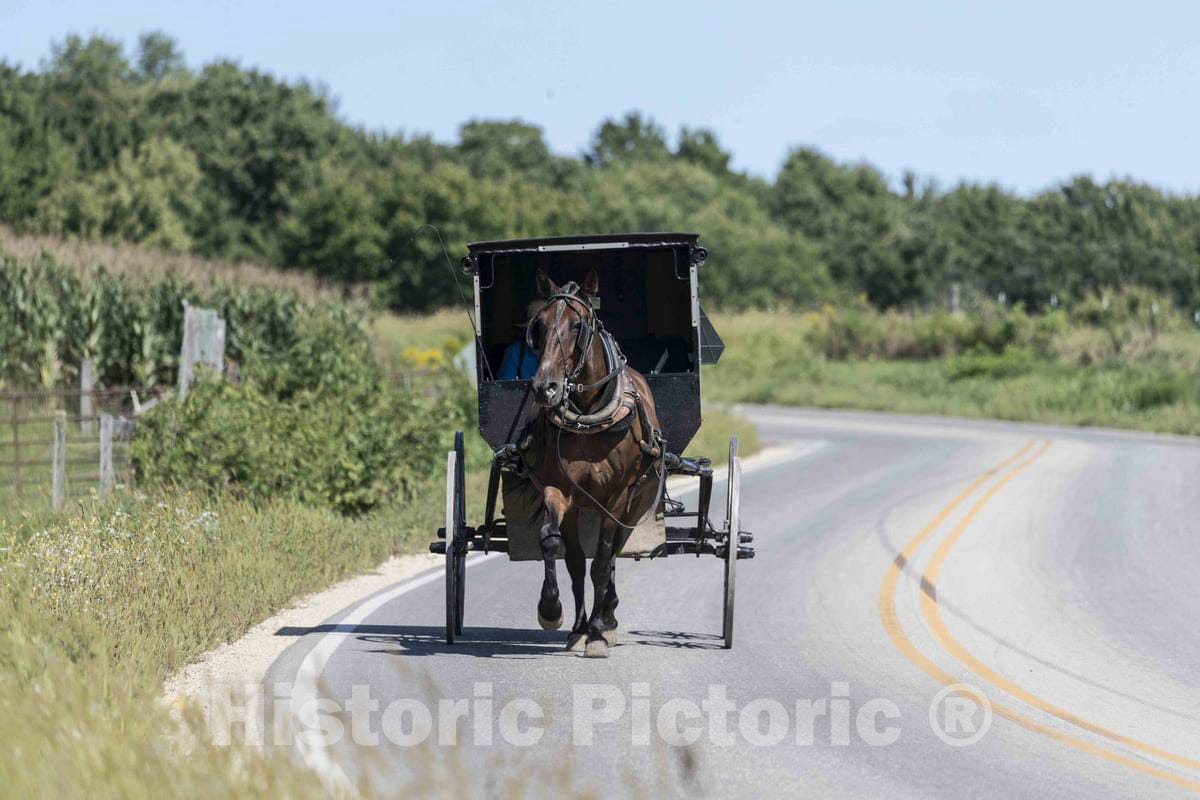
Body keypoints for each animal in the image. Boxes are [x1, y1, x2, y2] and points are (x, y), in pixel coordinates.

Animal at [519, 268, 664, 658]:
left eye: (577, 325)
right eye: (538, 325)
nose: (545, 388)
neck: (588, 416)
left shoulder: (616, 498)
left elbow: (601, 562)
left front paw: (599, 632)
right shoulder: (559, 489)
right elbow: (555, 545)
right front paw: (552, 611)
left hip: (633, 505)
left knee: (611, 554)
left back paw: (606, 619)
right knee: (577, 560)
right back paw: (580, 626)